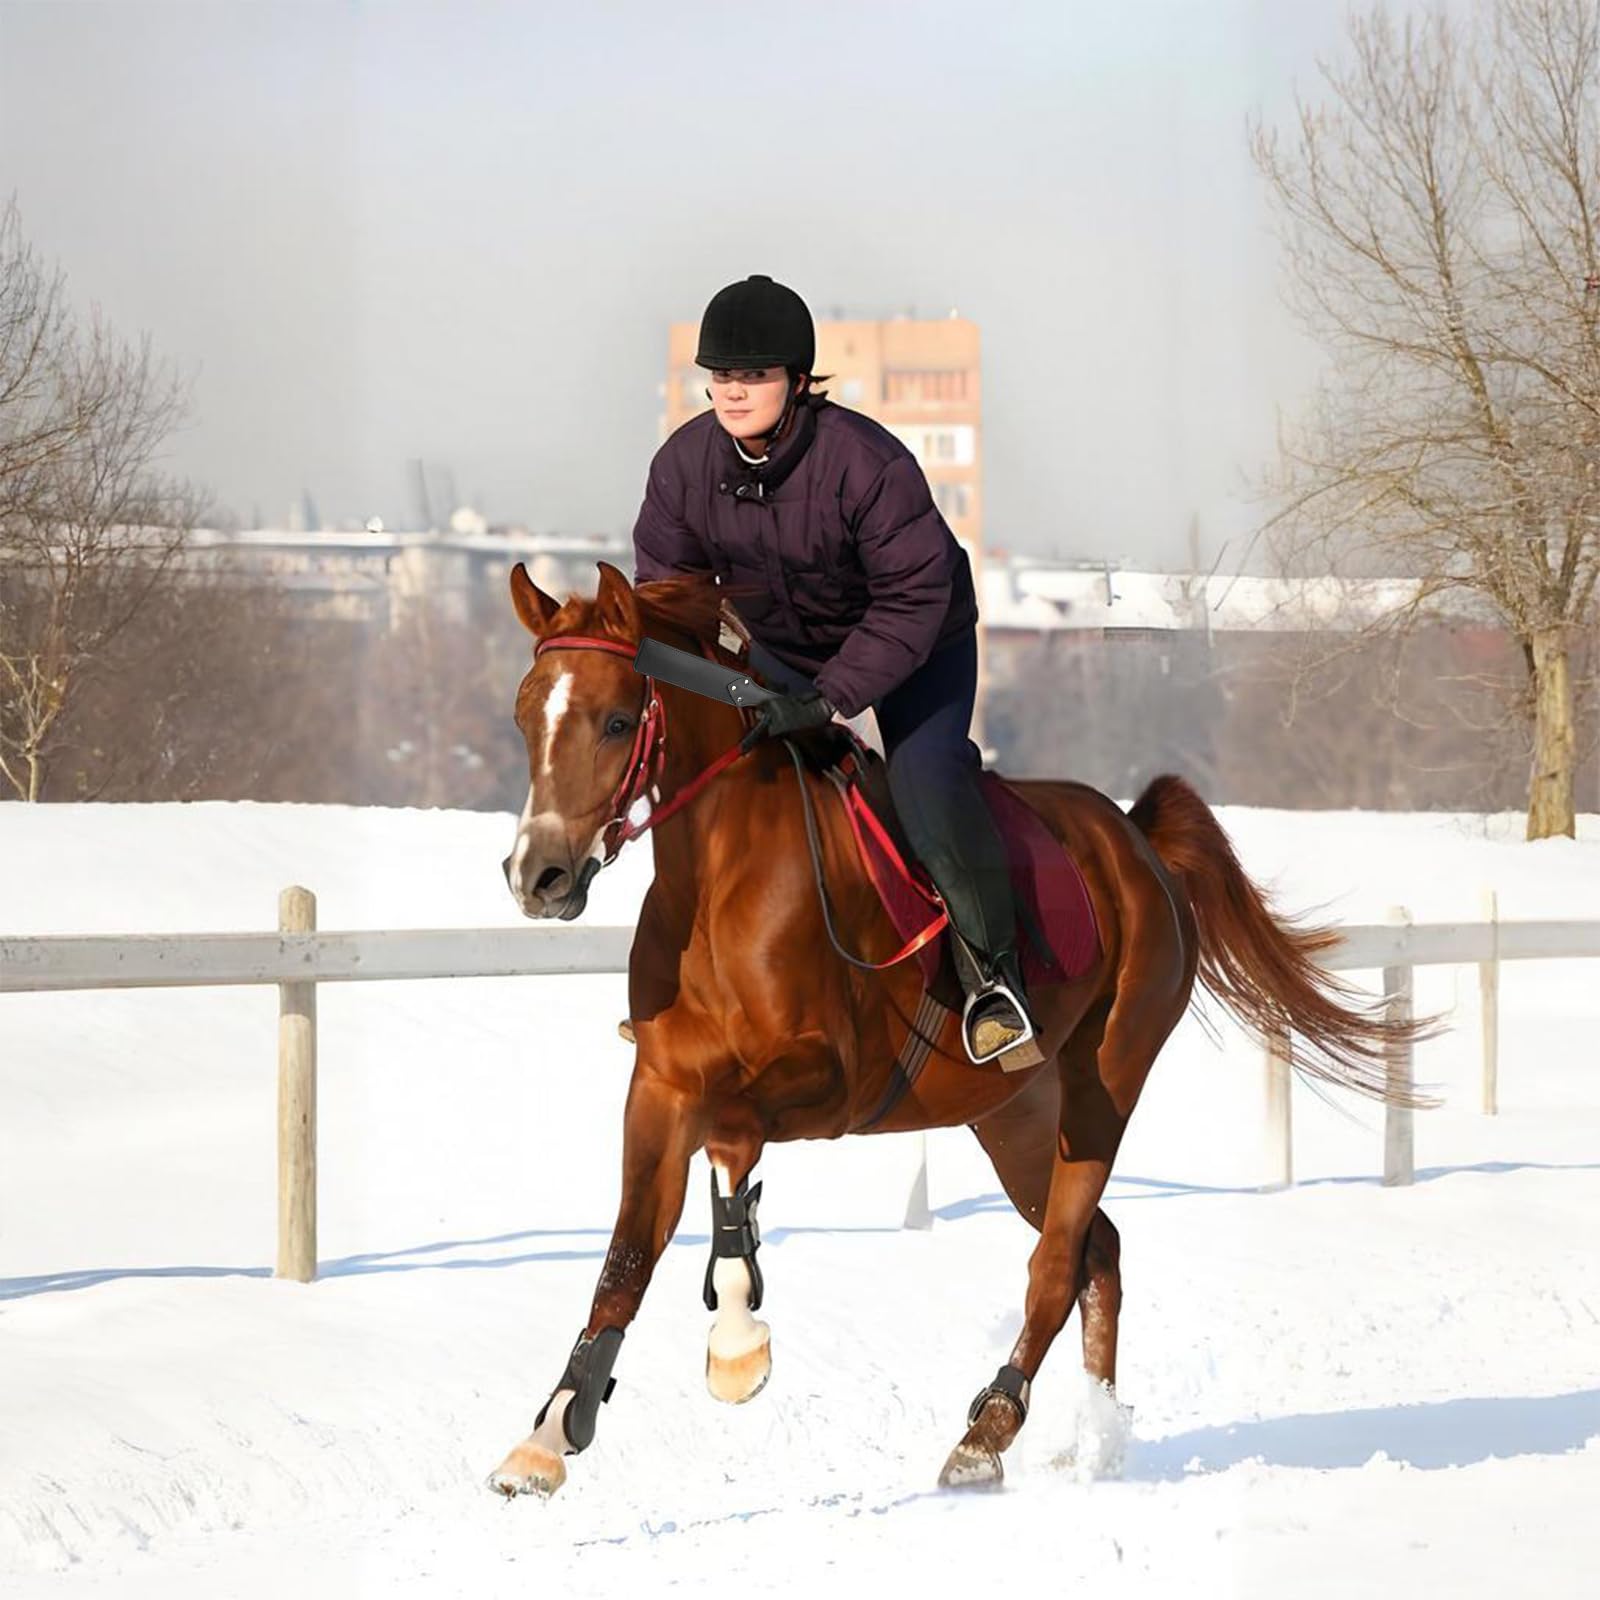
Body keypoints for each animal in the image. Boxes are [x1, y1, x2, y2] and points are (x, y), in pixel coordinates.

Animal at [488, 559, 1426, 1498]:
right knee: (1099, 1249)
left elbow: (733, 1140)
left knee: (1058, 1258)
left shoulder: (830, 1083)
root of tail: (1136, 839)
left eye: (617, 719)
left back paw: (990, 1430)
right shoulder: (661, 1086)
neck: (722, 884)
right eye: (526, 713)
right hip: (1015, 1114)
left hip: (1105, 1079)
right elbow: (625, 1258)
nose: (538, 876)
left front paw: (736, 1340)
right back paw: (1093, 1434)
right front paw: (549, 1432)